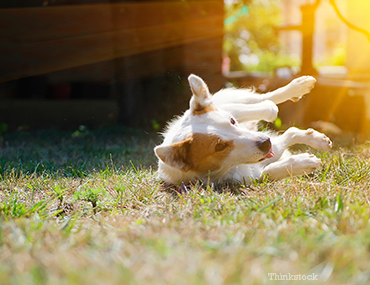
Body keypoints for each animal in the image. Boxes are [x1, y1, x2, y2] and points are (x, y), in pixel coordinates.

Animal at [153, 74, 332, 184]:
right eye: (219, 146)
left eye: (232, 122)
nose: (266, 143)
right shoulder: (254, 172)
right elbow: (269, 171)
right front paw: (303, 162)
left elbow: (274, 113)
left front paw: (316, 140)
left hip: (236, 103)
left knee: (266, 100)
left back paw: (296, 88)